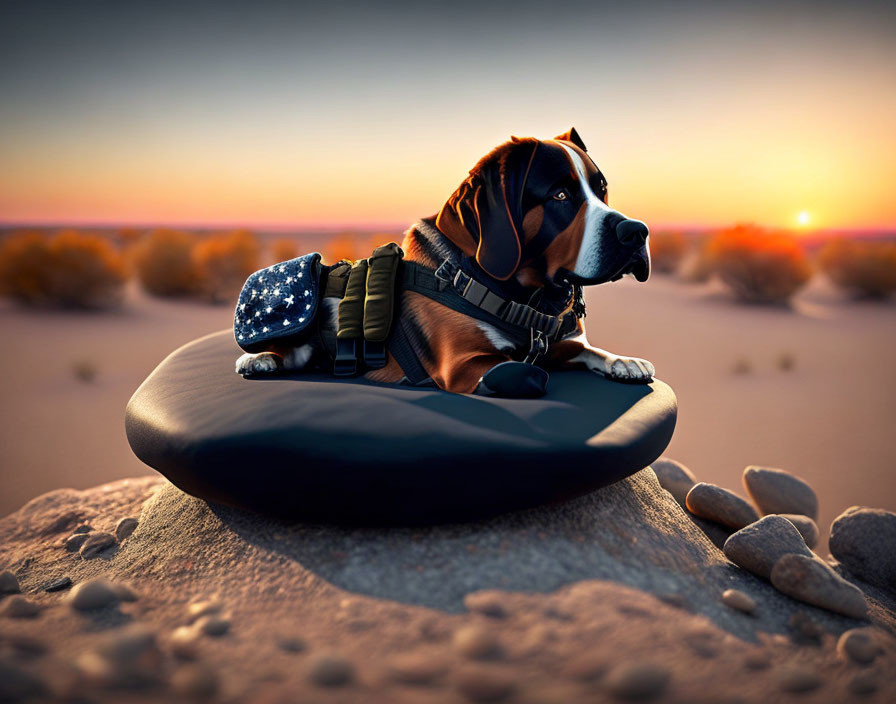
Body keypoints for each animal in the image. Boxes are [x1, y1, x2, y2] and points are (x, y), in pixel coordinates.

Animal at [236, 127, 656, 398]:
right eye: (560, 195)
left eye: (602, 189)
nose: (637, 232)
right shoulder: (466, 363)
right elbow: (525, 372)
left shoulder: (552, 346)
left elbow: (585, 349)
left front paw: (624, 361)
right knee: (289, 352)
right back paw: (260, 359)